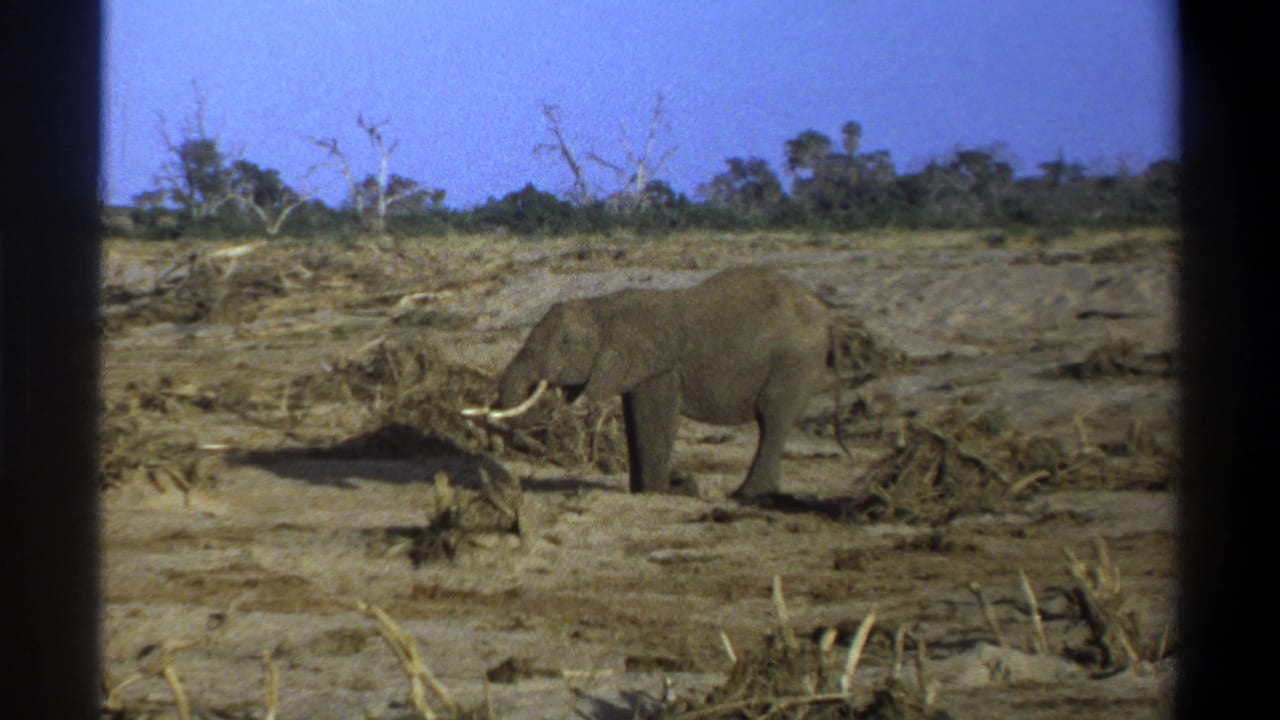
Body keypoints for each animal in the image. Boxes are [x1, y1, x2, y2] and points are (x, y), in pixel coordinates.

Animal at [479, 265, 840, 499]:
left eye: (566, 342)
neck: (603, 306)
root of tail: (825, 312)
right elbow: (634, 419)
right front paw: (649, 491)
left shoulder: (659, 366)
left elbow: (654, 418)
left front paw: (657, 492)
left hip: (795, 361)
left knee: (772, 416)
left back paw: (746, 496)